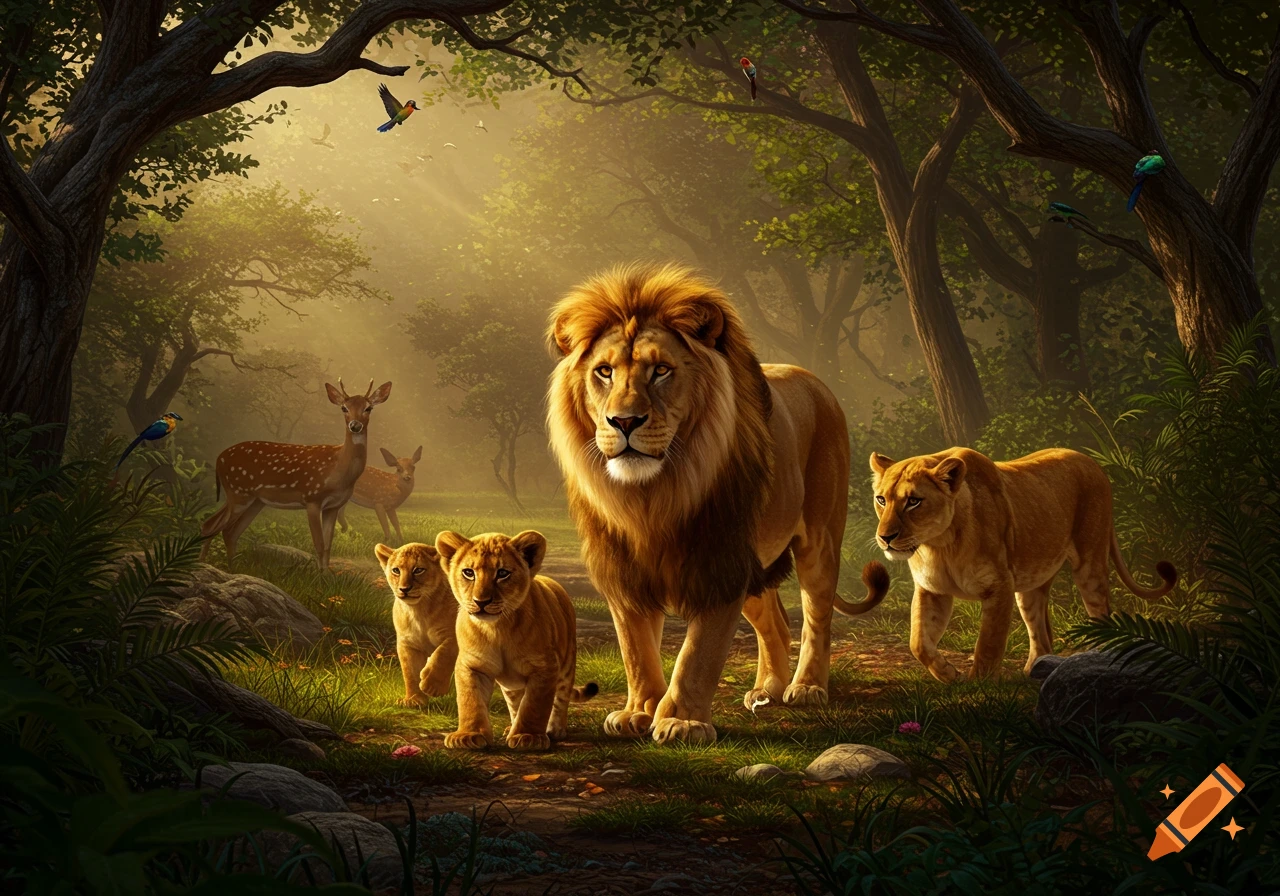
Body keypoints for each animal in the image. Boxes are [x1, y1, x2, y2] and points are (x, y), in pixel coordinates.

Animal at [199, 379, 393, 570]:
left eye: (368, 408)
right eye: (344, 408)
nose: (355, 425)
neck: (338, 470)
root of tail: (219, 458)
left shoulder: (333, 506)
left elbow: (328, 546)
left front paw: (327, 574)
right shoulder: (312, 498)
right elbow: (319, 545)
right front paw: (319, 576)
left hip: (253, 500)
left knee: (224, 529)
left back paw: (225, 567)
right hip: (239, 492)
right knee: (217, 527)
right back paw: (207, 566)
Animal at [374, 542, 458, 707]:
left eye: (418, 570)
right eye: (396, 570)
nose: (404, 589)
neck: (419, 611)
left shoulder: (455, 635)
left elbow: (444, 653)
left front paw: (432, 686)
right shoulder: (408, 644)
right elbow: (410, 672)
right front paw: (414, 700)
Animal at [436, 530, 598, 751]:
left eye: (502, 573)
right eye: (468, 572)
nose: (481, 602)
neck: (497, 629)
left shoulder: (544, 667)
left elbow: (534, 706)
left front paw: (528, 736)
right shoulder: (471, 665)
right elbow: (470, 700)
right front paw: (468, 735)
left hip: (567, 663)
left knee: (561, 698)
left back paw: (555, 729)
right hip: (511, 685)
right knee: (514, 704)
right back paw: (510, 728)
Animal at [546, 262, 889, 746]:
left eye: (661, 370)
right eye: (605, 372)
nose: (624, 421)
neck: (651, 496)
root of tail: (813, 379)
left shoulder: (719, 561)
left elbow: (698, 653)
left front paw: (681, 721)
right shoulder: (624, 570)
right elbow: (635, 649)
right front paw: (639, 711)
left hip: (818, 540)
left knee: (816, 618)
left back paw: (806, 688)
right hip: (756, 567)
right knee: (775, 623)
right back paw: (767, 688)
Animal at [869, 447, 1178, 681]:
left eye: (913, 501)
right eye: (881, 499)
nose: (885, 538)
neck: (939, 545)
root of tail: (1092, 461)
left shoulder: (1000, 587)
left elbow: (989, 643)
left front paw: (979, 685)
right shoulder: (932, 590)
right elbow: (918, 642)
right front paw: (949, 675)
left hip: (1090, 564)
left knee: (1100, 614)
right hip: (1031, 587)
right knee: (1041, 633)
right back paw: (1035, 671)